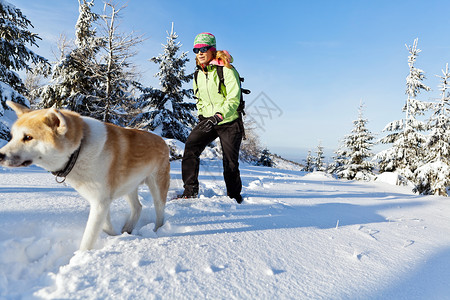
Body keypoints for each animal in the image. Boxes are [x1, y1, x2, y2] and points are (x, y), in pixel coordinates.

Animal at [0, 101, 171, 251]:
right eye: (13, 136)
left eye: (28, 137)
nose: (0, 155)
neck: (78, 150)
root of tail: (162, 140)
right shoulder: (100, 201)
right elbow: (106, 225)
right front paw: (116, 237)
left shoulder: (100, 201)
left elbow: (88, 239)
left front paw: (80, 258)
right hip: (129, 186)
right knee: (138, 207)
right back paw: (127, 229)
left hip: (157, 187)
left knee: (159, 211)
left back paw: (158, 231)